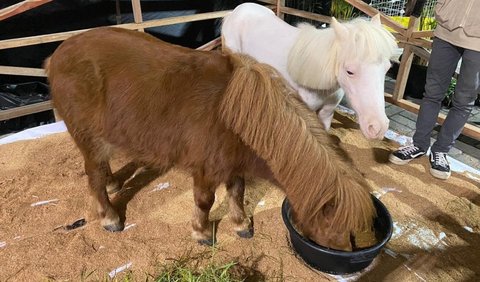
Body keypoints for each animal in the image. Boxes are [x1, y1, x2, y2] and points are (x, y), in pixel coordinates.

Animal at [45, 27, 376, 251]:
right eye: (335, 222)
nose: (343, 253)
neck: (237, 115)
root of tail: (57, 55)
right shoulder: (205, 169)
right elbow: (205, 202)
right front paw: (202, 233)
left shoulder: (233, 164)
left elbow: (237, 192)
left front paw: (241, 225)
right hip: (88, 138)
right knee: (94, 177)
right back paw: (110, 217)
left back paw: (115, 182)